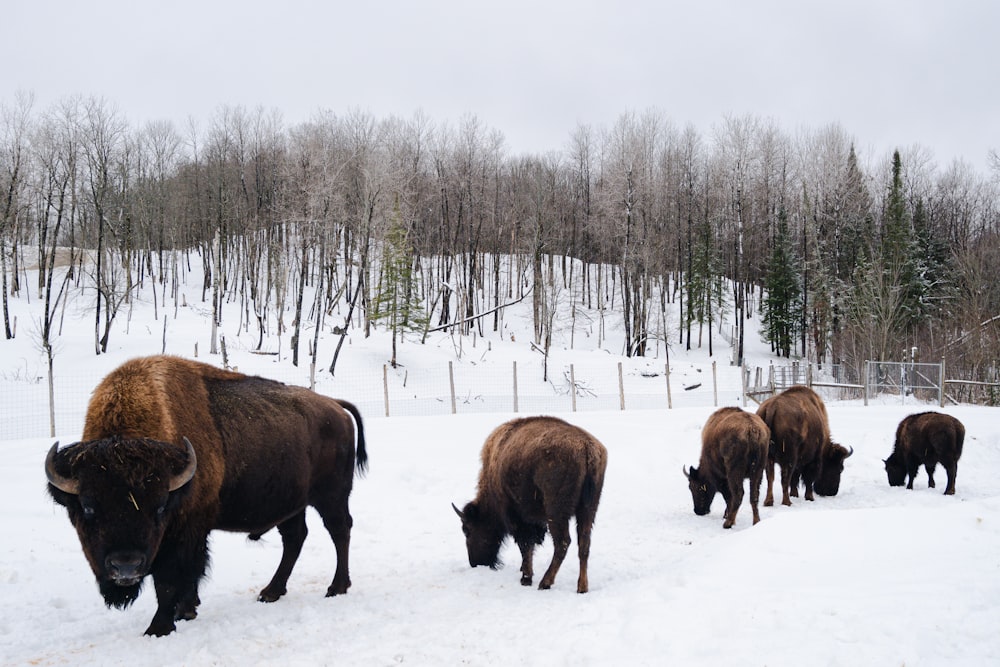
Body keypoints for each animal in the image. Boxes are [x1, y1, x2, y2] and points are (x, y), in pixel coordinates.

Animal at [456, 418, 608, 596]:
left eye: (468, 530)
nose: (475, 562)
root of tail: (586, 447)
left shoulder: (517, 516)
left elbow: (525, 544)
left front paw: (526, 578)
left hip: (556, 514)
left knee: (563, 543)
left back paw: (545, 583)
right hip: (588, 510)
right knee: (583, 544)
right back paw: (582, 587)